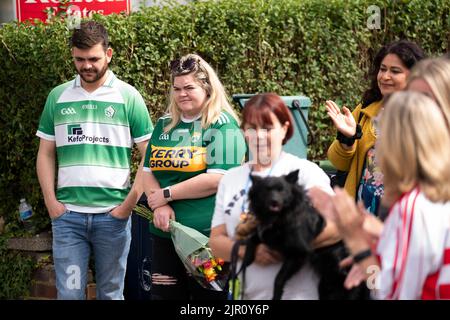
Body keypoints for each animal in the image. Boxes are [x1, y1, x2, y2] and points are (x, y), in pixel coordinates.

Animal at [239, 170, 370, 300]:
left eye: (282, 190)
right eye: (266, 190)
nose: (274, 201)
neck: (279, 217)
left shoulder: (298, 253)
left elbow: (279, 278)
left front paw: (276, 295)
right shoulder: (268, 235)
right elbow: (252, 238)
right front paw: (247, 258)